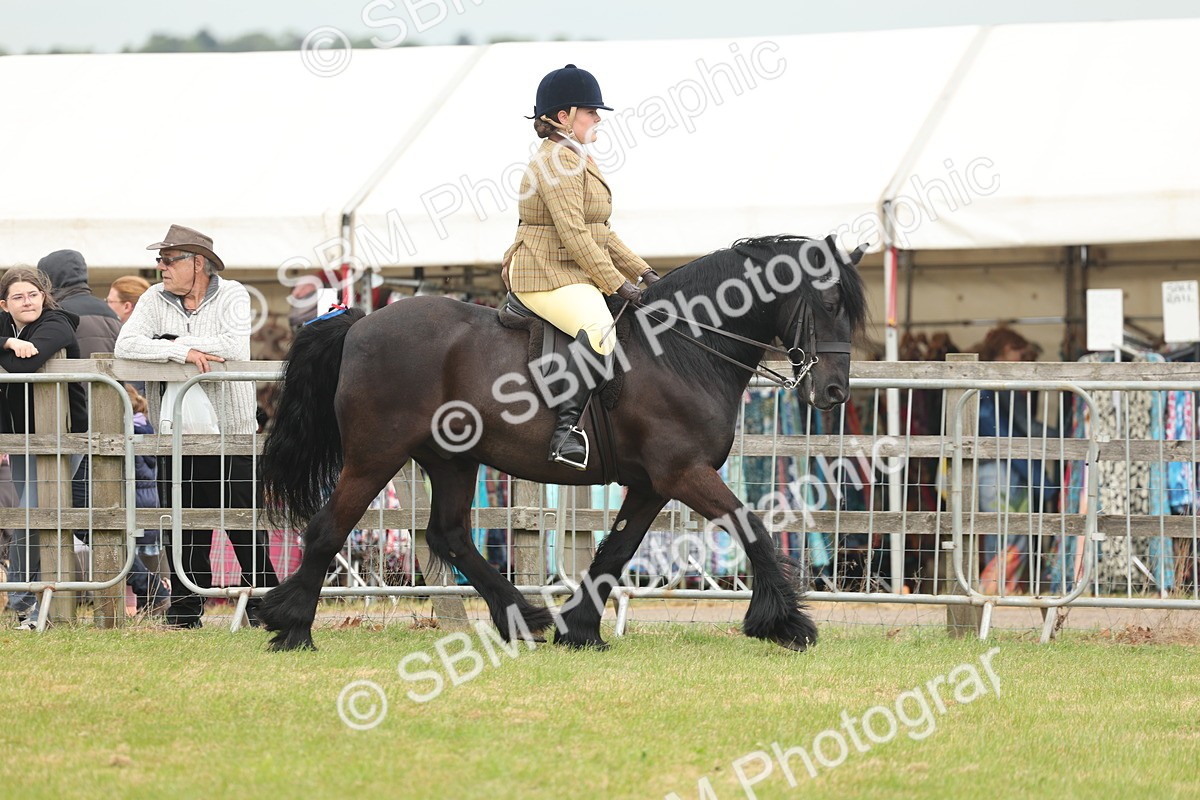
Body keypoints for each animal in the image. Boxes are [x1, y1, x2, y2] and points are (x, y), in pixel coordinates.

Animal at [258, 234, 868, 651]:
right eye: (830, 303)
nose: (835, 391)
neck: (680, 348)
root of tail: (360, 323)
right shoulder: (684, 472)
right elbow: (752, 527)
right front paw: (787, 623)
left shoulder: (652, 484)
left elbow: (615, 551)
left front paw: (580, 630)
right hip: (374, 457)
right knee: (328, 528)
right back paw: (292, 629)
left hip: (454, 460)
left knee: (449, 535)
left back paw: (524, 618)